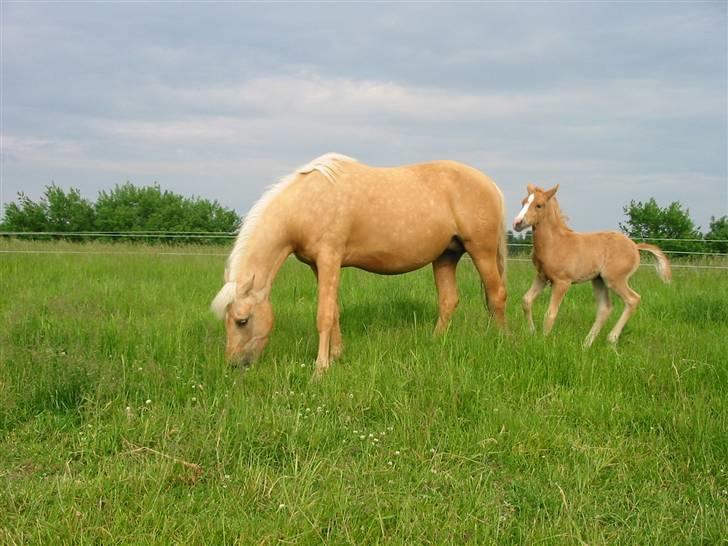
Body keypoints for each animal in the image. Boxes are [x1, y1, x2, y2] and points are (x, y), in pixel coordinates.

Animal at [210, 152, 506, 374]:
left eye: (242, 321)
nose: (235, 365)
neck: (306, 204)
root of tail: (491, 184)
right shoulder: (318, 266)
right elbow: (334, 310)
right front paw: (337, 356)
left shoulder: (329, 258)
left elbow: (324, 314)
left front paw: (320, 368)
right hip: (446, 256)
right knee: (448, 300)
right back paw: (435, 341)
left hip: (481, 251)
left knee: (497, 295)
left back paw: (500, 341)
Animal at [512, 183, 672, 344]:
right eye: (523, 202)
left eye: (539, 205)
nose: (517, 223)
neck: (554, 242)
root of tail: (635, 246)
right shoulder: (542, 277)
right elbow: (526, 301)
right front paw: (532, 333)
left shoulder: (562, 282)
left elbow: (550, 313)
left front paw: (544, 341)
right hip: (598, 280)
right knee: (605, 308)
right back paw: (586, 343)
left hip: (614, 279)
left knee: (633, 299)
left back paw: (611, 339)